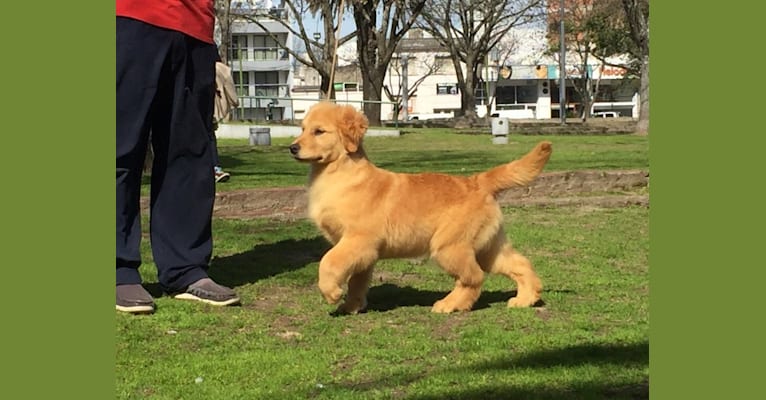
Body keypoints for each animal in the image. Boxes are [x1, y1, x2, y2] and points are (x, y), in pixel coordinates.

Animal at [292, 101, 556, 314]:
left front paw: (331, 293)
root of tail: (478, 181)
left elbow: (328, 261)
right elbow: (357, 281)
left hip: (449, 246)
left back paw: (450, 304)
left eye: (319, 131)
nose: (292, 147)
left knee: (474, 277)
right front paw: (351, 306)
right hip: (488, 247)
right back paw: (525, 298)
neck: (340, 174)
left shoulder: (358, 240)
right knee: (519, 264)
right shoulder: (363, 252)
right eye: (302, 129)